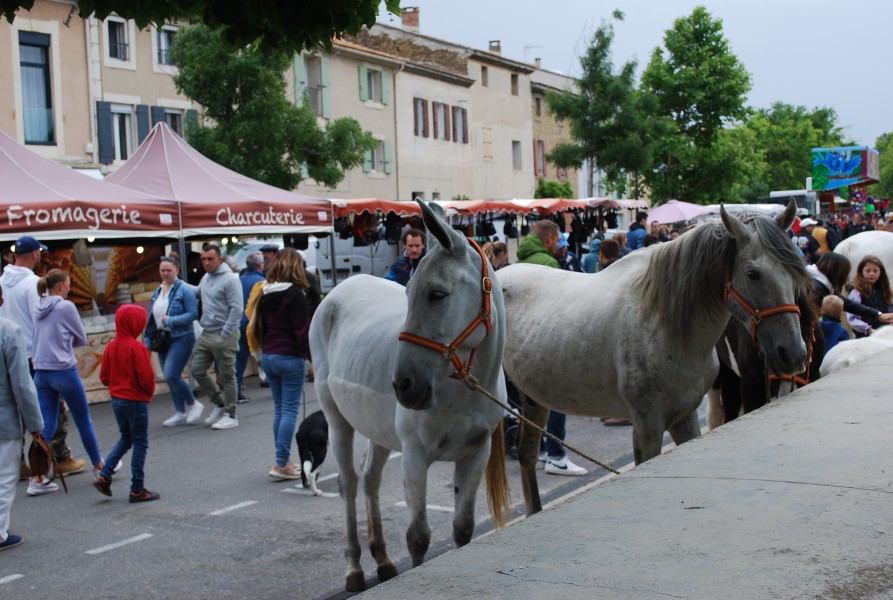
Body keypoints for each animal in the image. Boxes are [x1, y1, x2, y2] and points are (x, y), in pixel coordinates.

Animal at [310, 200, 508, 592]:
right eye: (406, 293)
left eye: (437, 294)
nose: (403, 384)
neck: (460, 391)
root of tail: (336, 292)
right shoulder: (415, 455)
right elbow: (418, 536)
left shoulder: (476, 453)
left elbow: (462, 529)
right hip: (337, 422)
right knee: (348, 484)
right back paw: (355, 568)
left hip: (377, 428)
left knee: (370, 480)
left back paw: (383, 561)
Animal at [502, 204, 808, 512]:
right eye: (753, 273)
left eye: (794, 271)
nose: (794, 353)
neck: (665, 323)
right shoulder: (647, 425)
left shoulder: (684, 417)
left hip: (532, 400)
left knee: (527, 453)